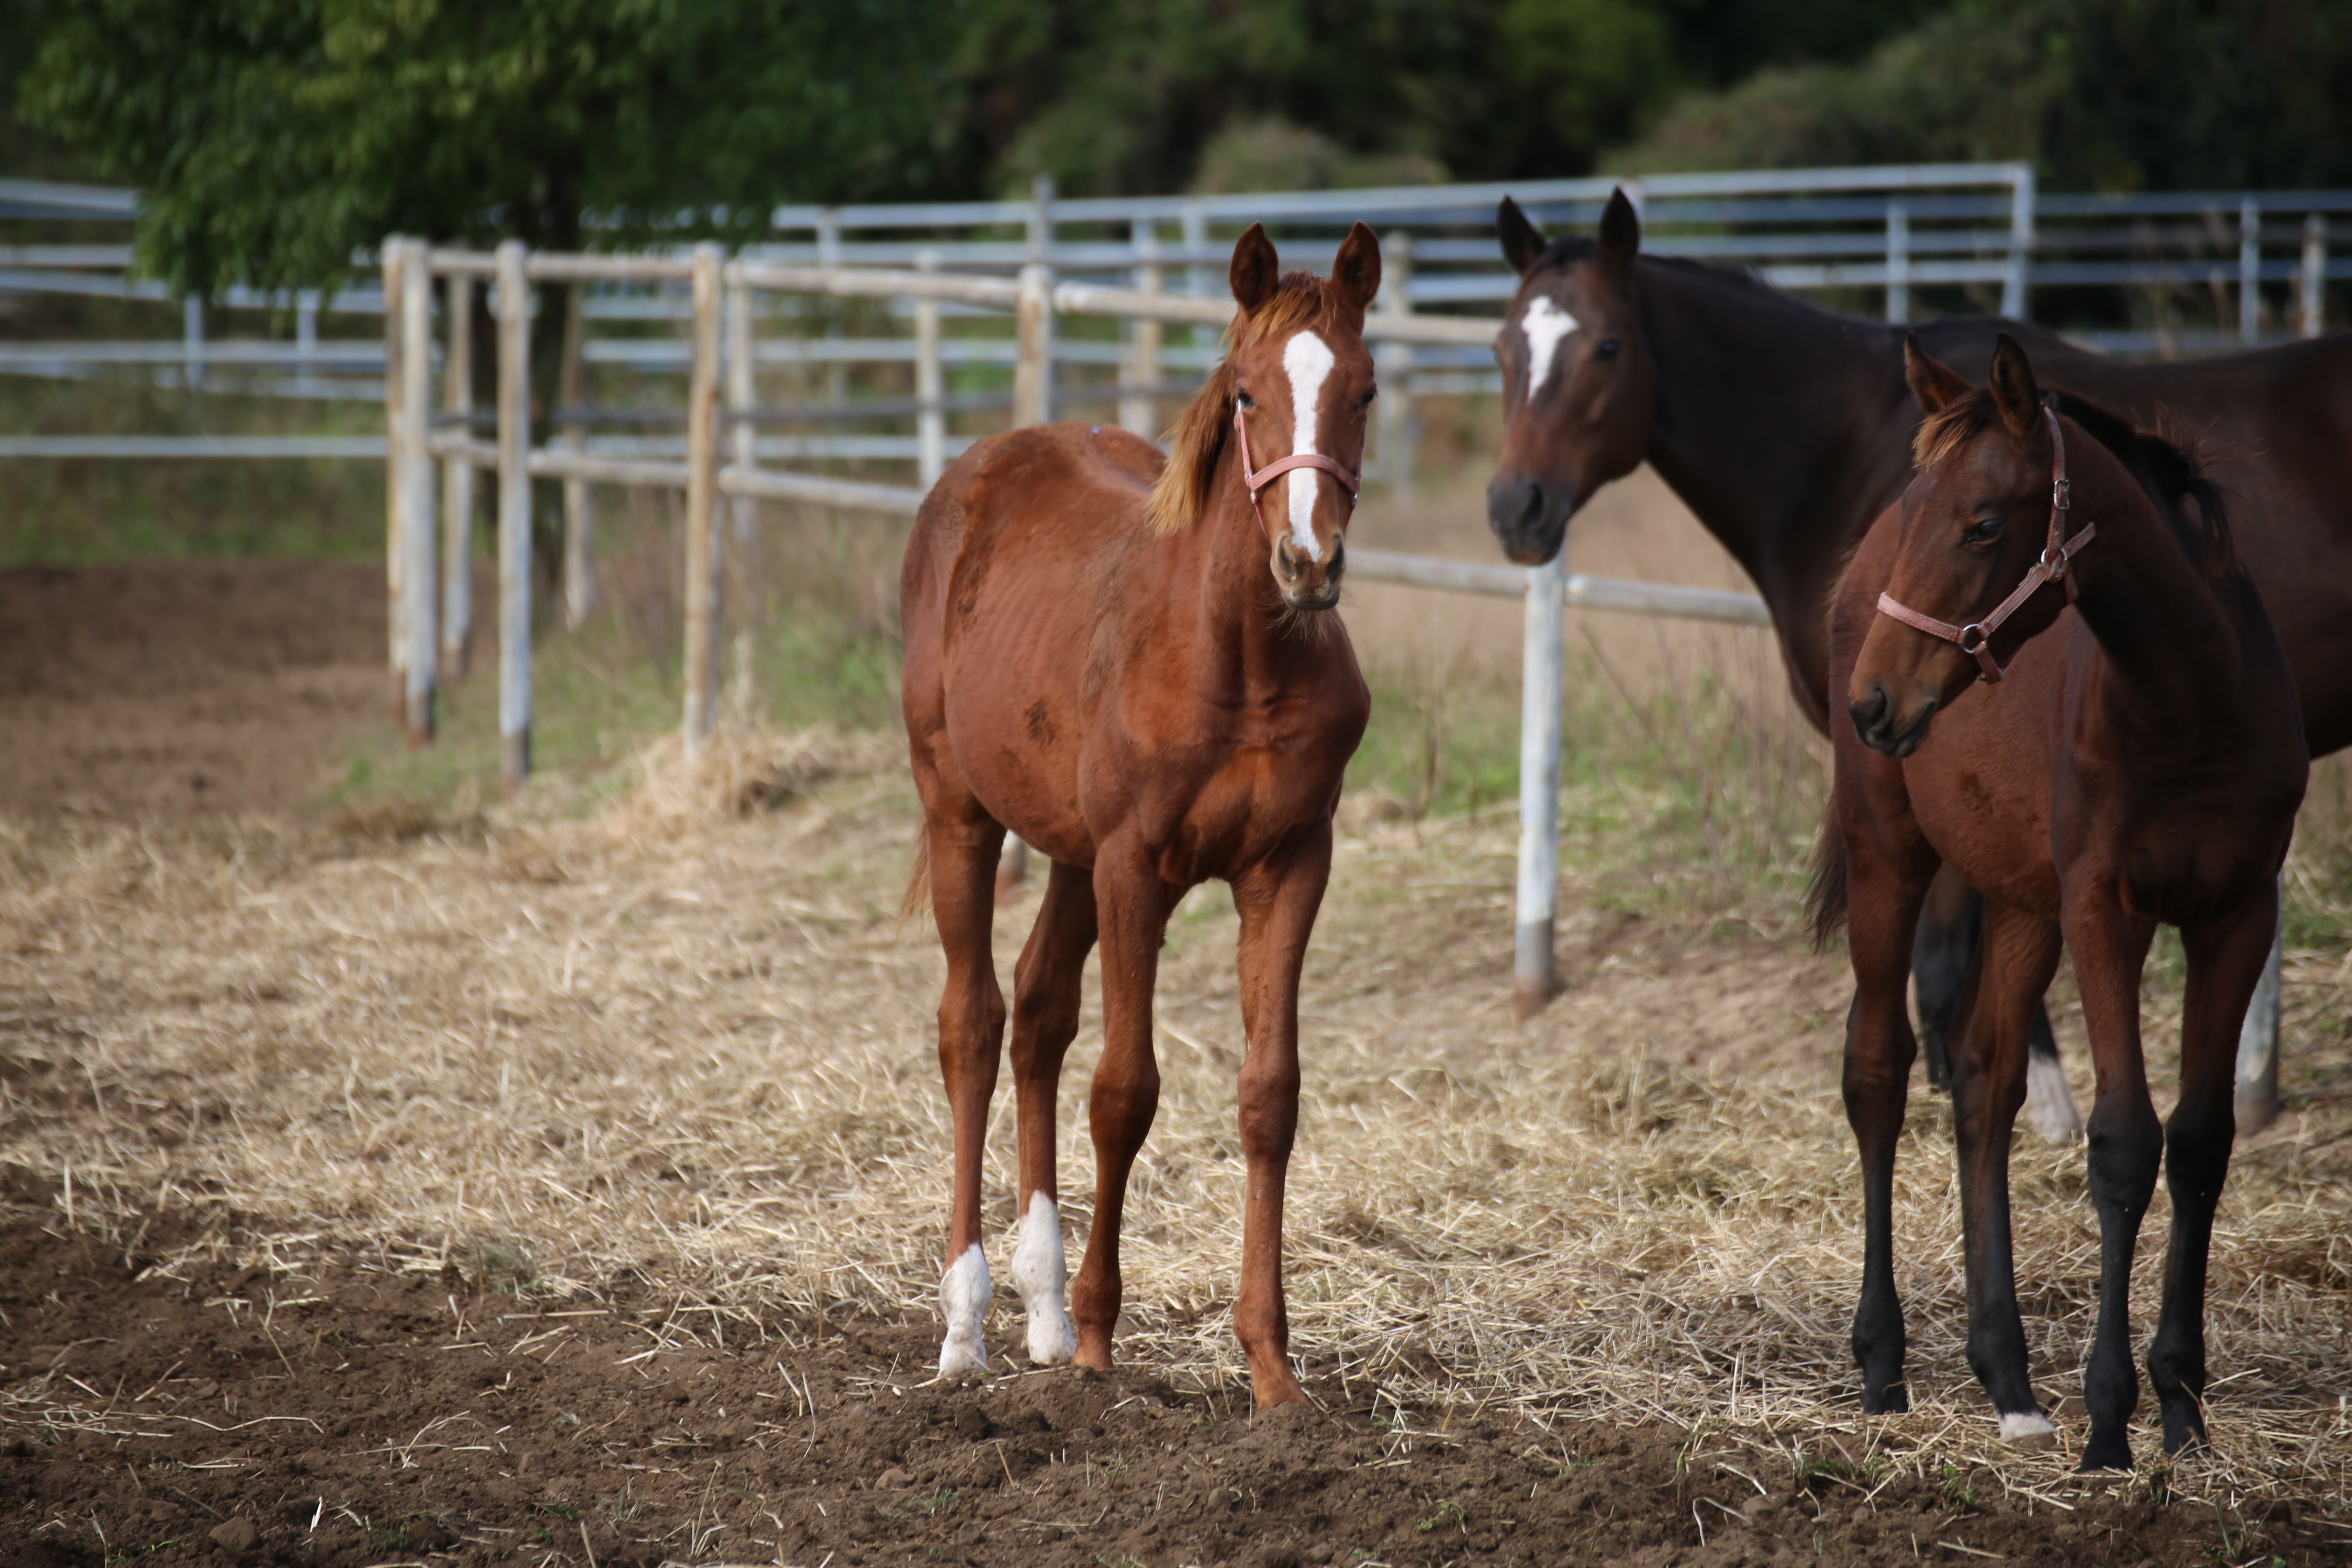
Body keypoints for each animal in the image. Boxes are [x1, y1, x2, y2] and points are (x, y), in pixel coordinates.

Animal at [898, 221, 1373, 1410]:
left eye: (1365, 392)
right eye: (1246, 394)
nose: (1309, 562)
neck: (1237, 657)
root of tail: (975, 470)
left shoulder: (1292, 864)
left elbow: (1268, 1097)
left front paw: (1270, 1367)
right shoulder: (1135, 868)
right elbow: (1125, 1091)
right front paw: (1106, 1347)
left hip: (1067, 850)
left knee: (1036, 1013)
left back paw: (1042, 1311)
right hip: (960, 809)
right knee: (971, 1023)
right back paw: (968, 1323)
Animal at [1486, 190, 2352, 1133]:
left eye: (1607, 347)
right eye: (1501, 349)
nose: (1515, 508)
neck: (1845, 448)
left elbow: (1947, 969)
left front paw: (2038, 1106)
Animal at [1815, 331, 2295, 1476]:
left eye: (1985, 520)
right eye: (1923, 502)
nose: (1874, 700)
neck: (2190, 702)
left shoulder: (2235, 915)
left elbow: (2200, 1141)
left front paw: (2181, 1406)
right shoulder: (2103, 910)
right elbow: (2123, 1142)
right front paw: (2113, 1419)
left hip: (2018, 897)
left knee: (1984, 1083)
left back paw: (2009, 1382)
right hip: (1889, 856)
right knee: (1877, 1069)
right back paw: (1883, 1363)